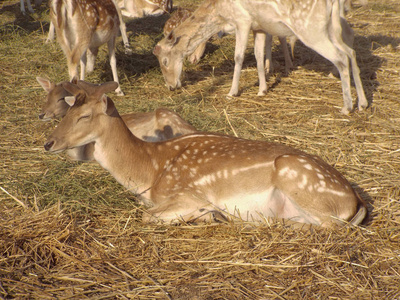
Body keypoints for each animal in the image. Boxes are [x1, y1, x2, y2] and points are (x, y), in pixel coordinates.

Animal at [153, 0, 368, 114]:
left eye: (165, 61)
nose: (171, 86)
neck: (220, 13)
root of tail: (334, 3)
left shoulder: (243, 21)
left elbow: (239, 57)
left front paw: (232, 92)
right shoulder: (259, 27)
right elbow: (257, 55)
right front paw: (262, 90)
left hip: (311, 30)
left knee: (340, 57)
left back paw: (346, 107)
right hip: (332, 29)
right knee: (351, 52)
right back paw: (363, 103)